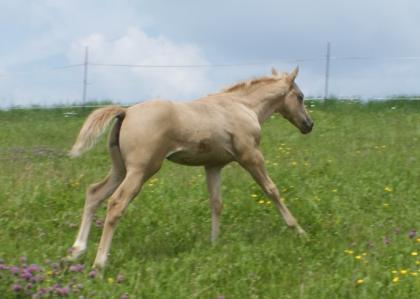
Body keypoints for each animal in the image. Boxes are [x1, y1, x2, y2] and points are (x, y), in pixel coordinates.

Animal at [67, 67, 314, 270]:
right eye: (300, 97)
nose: (309, 125)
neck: (242, 106)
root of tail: (126, 112)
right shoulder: (251, 156)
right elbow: (272, 190)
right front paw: (299, 231)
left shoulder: (213, 165)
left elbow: (216, 203)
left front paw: (214, 243)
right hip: (140, 170)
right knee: (116, 203)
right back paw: (100, 262)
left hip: (120, 169)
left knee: (94, 192)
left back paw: (77, 250)